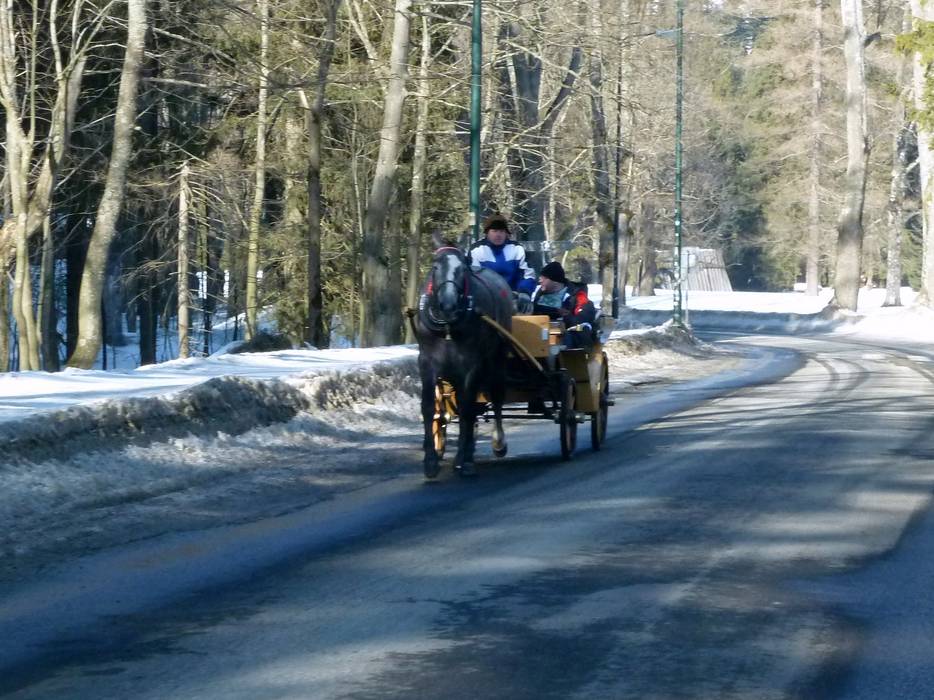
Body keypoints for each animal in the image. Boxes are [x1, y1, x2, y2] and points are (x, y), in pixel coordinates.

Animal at [414, 246, 514, 478]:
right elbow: (428, 407)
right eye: (435, 266)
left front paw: (464, 460)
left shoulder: (471, 365)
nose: (448, 304)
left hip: (496, 361)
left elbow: (467, 409)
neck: (448, 327)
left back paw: (496, 443)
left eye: (463, 269)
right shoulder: (427, 363)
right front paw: (430, 461)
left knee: (495, 397)